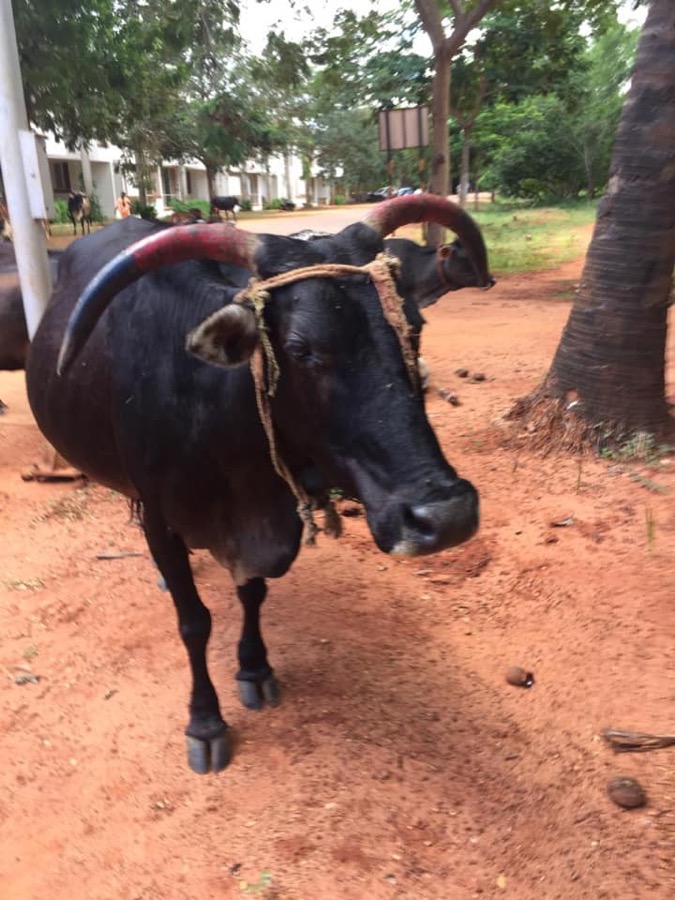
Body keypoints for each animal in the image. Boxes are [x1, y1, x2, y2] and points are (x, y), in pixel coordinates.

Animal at [26, 194, 494, 774]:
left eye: (414, 325)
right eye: (298, 347)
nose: (445, 516)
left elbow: (252, 593)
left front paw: (254, 668)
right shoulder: (162, 519)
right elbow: (194, 622)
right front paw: (205, 722)